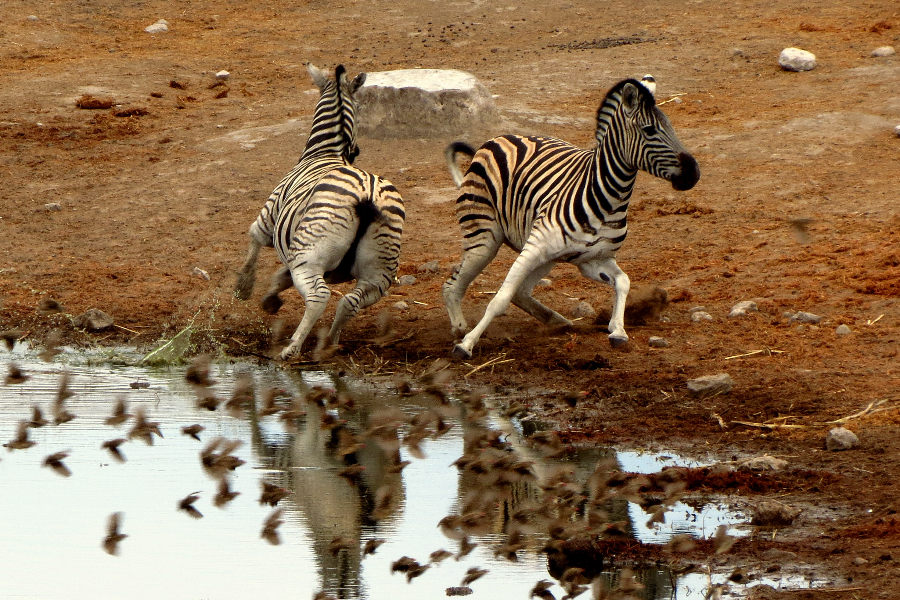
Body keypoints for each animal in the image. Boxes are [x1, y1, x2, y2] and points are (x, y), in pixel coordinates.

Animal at [232, 64, 404, 360]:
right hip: (379, 274)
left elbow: (253, 243)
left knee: (318, 296)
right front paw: (270, 300)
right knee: (350, 302)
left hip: (311, 257)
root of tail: (368, 194)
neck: (323, 152)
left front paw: (244, 287)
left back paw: (291, 348)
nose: (356, 151)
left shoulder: (268, 217)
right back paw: (329, 344)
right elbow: (281, 277)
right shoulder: (293, 251)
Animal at [442, 75, 696, 358]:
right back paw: (460, 330)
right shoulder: (535, 248)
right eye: (649, 130)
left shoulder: (593, 259)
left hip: (545, 255)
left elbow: (623, 282)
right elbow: (499, 299)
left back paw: (558, 322)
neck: (610, 199)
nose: (693, 173)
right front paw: (467, 345)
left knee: (521, 292)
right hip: (485, 240)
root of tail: (494, 141)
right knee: (453, 286)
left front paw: (618, 330)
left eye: (671, 126)